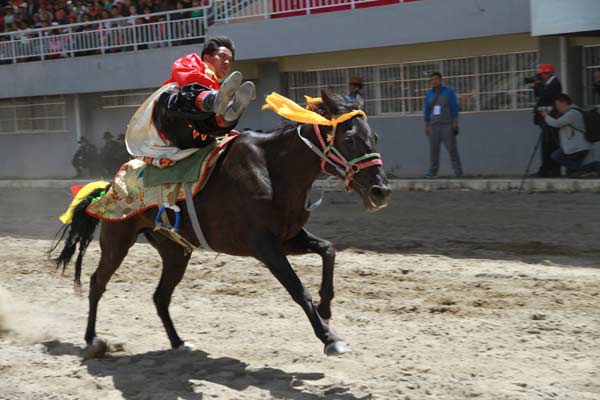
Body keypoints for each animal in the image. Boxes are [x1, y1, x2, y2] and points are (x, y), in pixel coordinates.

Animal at [50, 90, 390, 356]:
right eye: (350, 138)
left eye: (374, 136)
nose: (381, 190)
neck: (271, 168)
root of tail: (110, 185)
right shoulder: (265, 246)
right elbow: (298, 289)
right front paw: (330, 338)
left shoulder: (289, 238)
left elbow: (328, 249)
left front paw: (326, 306)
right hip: (117, 242)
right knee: (97, 282)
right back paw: (92, 340)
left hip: (175, 251)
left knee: (160, 296)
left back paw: (178, 342)